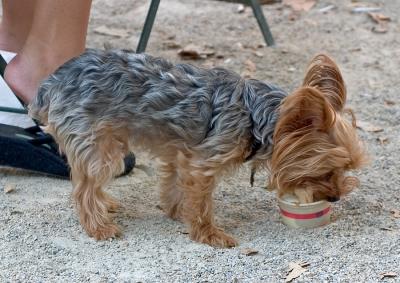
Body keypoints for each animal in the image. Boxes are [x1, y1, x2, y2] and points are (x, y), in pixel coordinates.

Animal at [28, 51, 366, 248]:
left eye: (346, 169)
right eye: (327, 169)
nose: (335, 197)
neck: (254, 116)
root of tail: (52, 82)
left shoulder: (182, 154)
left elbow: (175, 186)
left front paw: (178, 212)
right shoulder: (203, 163)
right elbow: (202, 203)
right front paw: (208, 234)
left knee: (88, 181)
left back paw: (105, 204)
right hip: (100, 145)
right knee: (83, 188)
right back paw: (98, 226)